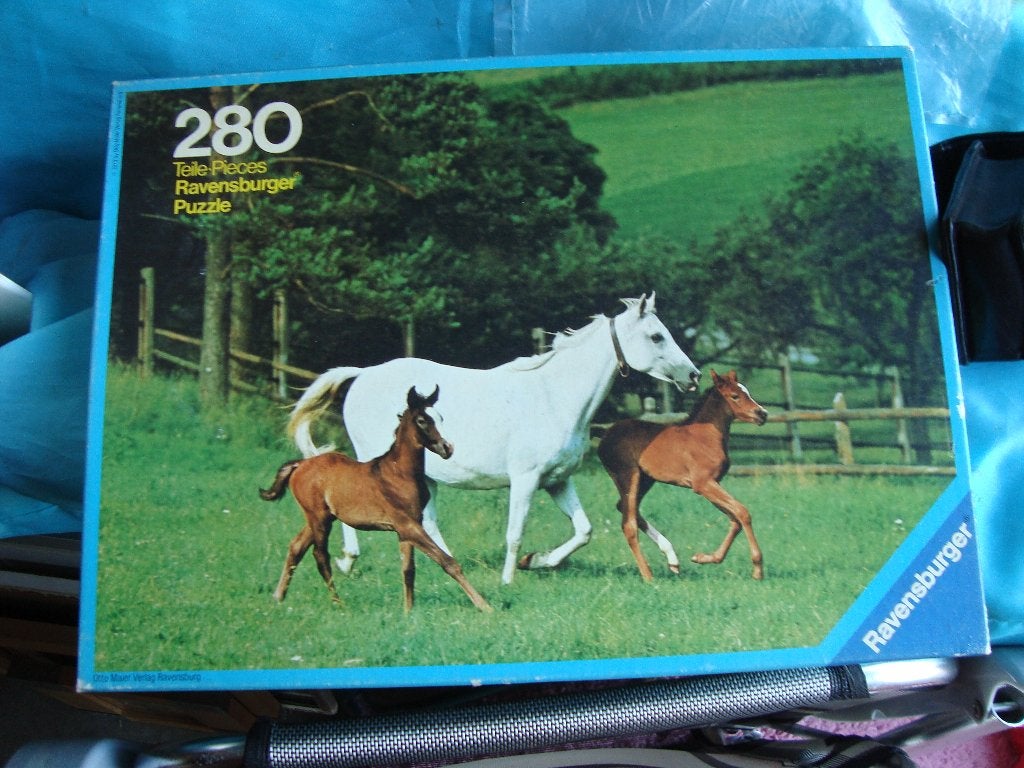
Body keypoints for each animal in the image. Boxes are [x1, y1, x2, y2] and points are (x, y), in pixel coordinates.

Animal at [260, 386, 493, 613]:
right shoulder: (407, 525)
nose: (447, 448)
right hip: (318, 519)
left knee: (296, 547)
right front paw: (485, 606)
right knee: (320, 556)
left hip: (320, 518)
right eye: (422, 420)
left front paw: (408, 612)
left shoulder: (407, 528)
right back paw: (338, 604)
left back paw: (278, 597)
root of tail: (300, 464)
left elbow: (409, 570)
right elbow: (447, 561)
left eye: (441, 417)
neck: (399, 473)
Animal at [288, 293, 701, 585]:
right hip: (378, 464)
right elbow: (515, 532)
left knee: (429, 523)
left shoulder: (558, 481)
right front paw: (509, 578)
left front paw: (538, 562)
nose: (694, 376)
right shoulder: (525, 480)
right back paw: (348, 560)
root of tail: (363, 374)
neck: (554, 398)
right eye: (656, 336)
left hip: (423, 477)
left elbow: (583, 531)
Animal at [597, 369, 769, 582]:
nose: (762, 414)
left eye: (747, 392)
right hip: (627, 476)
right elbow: (743, 512)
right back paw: (648, 576)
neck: (706, 435)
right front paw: (758, 568)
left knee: (625, 508)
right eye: (735, 396)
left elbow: (735, 518)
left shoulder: (712, 484)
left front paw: (704, 558)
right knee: (628, 524)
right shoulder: (703, 484)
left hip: (645, 480)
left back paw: (672, 559)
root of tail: (605, 433)